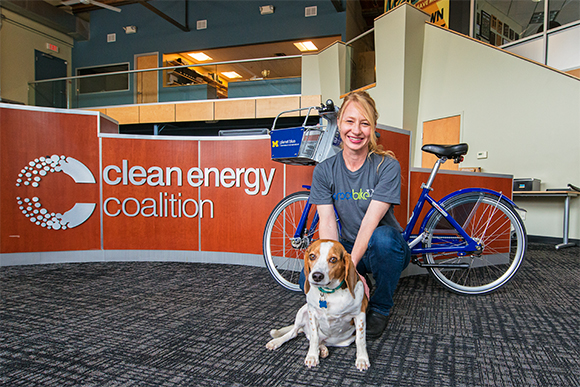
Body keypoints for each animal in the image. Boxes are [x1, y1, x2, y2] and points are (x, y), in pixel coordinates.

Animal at [266, 239, 370, 372]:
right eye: (312, 256)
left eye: (333, 259)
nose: (316, 276)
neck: (329, 293)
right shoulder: (312, 313)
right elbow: (314, 337)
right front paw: (312, 356)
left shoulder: (359, 314)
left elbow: (360, 340)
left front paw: (362, 359)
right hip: (302, 311)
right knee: (295, 333)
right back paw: (276, 342)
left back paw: (323, 349)